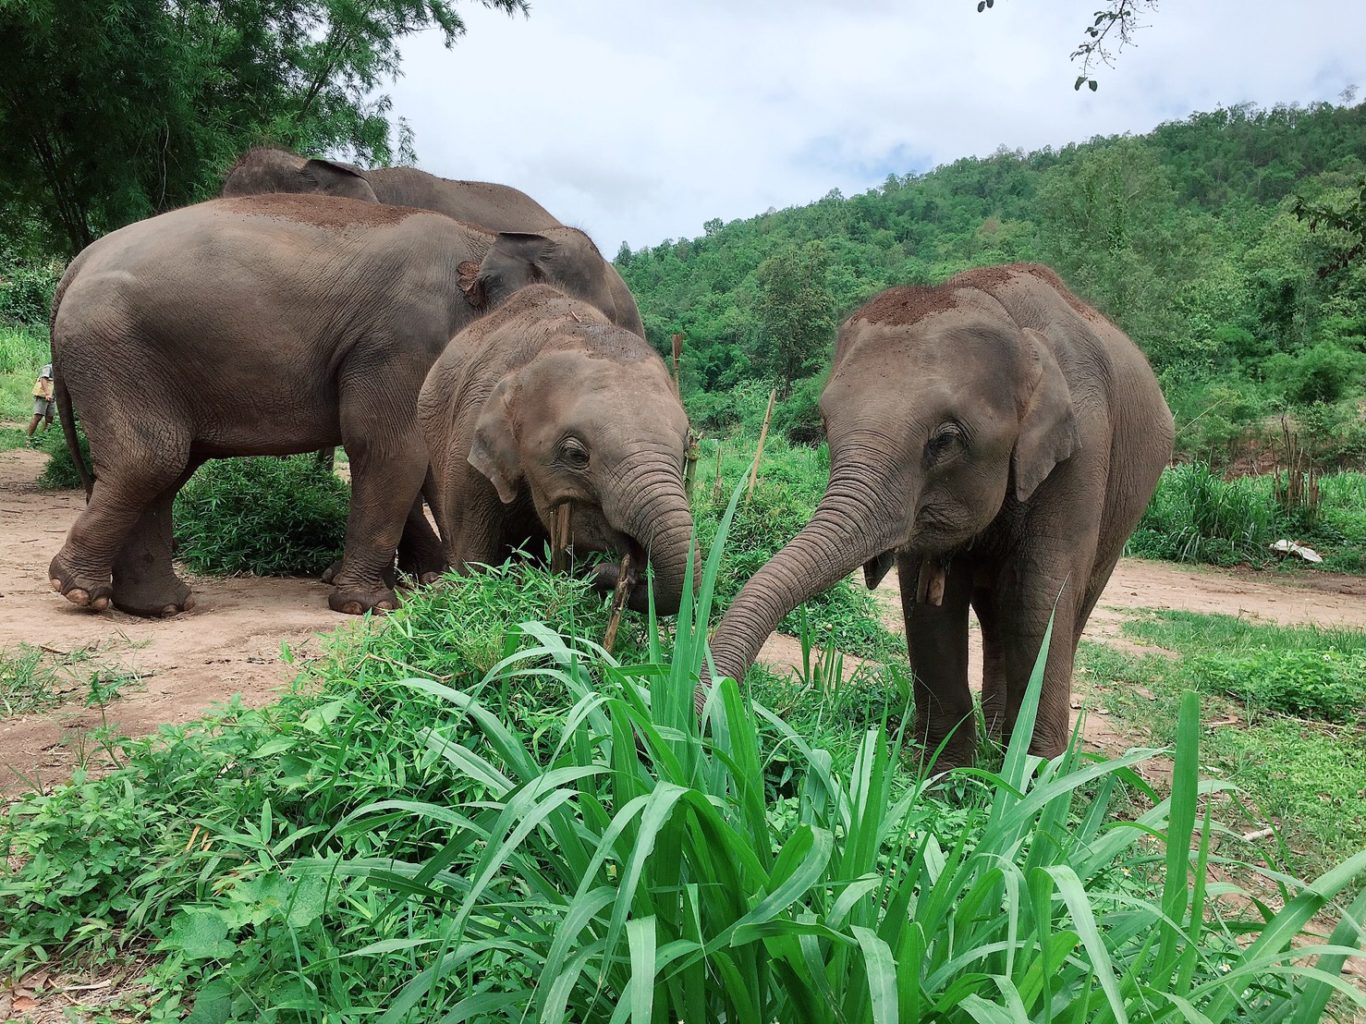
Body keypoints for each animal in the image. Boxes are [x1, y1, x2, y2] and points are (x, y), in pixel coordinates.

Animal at [48, 193, 630, 618]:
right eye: (592, 322)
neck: (482, 238)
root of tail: (77, 262)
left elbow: (422, 457)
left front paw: (429, 580)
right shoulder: (403, 338)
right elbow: (395, 448)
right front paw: (368, 605)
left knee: (168, 469)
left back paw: (157, 607)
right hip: (118, 349)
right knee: (153, 459)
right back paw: (80, 592)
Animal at [705, 264, 1173, 769]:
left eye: (945, 440)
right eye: (826, 425)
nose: (714, 719)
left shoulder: (1083, 446)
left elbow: (1039, 594)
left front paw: (1031, 780)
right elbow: (926, 604)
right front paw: (943, 774)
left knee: (1064, 604)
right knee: (993, 615)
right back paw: (993, 738)